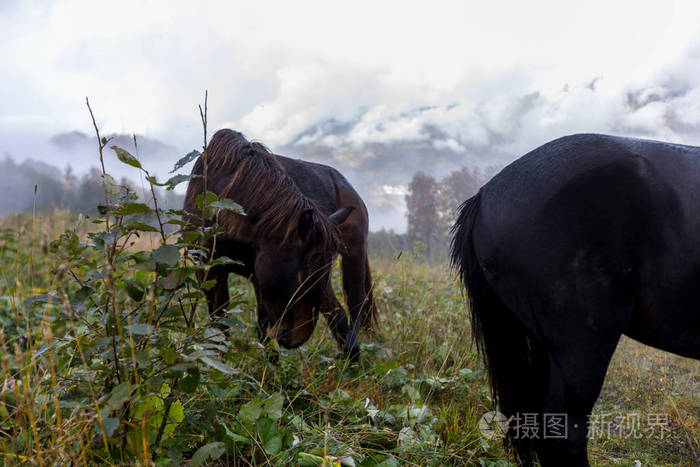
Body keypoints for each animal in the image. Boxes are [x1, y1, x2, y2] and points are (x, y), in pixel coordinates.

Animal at [183, 130, 374, 360]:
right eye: (302, 273)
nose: (297, 338)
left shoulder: (259, 277)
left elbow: (263, 331)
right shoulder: (212, 270)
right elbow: (222, 327)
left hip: (354, 254)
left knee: (356, 307)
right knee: (338, 314)